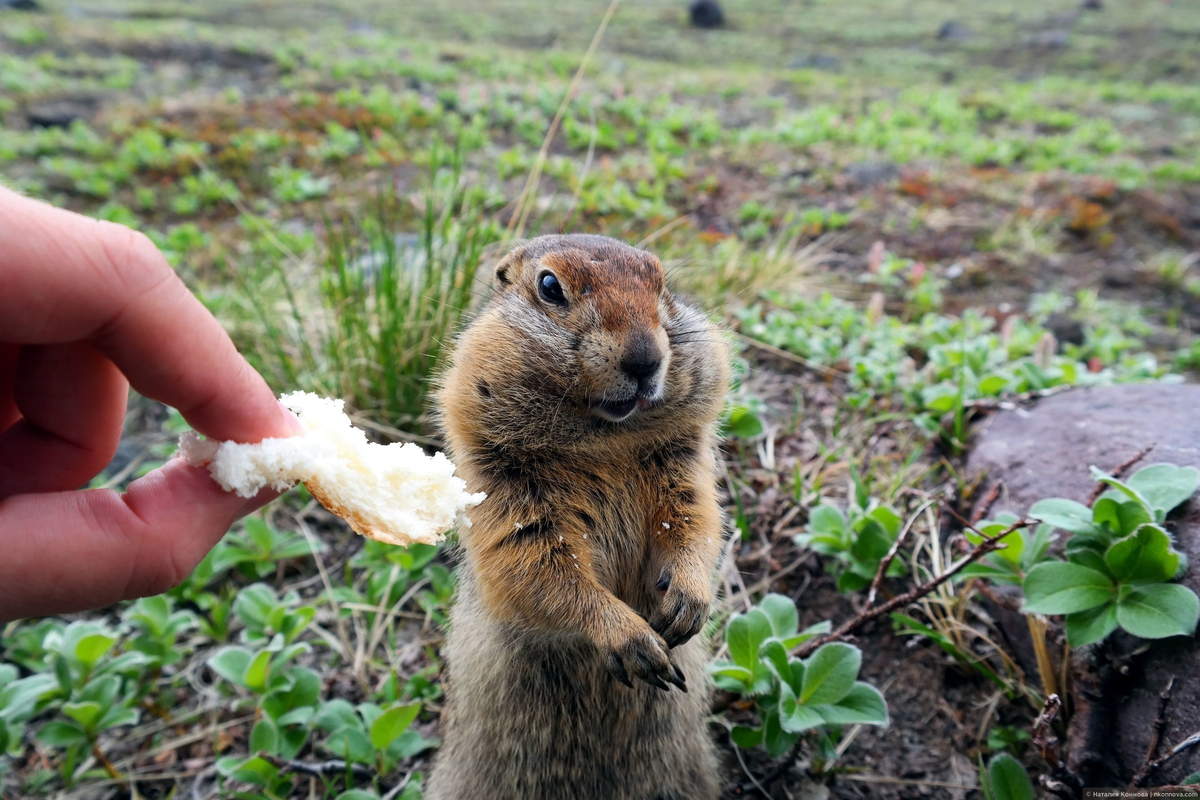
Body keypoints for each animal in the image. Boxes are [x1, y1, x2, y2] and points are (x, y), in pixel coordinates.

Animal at [432, 235, 729, 796]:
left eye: (661, 281)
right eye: (550, 286)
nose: (644, 358)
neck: (602, 437)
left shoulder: (681, 461)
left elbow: (693, 516)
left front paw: (687, 601)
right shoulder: (506, 485)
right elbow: (537, 564)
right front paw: (632, 639)